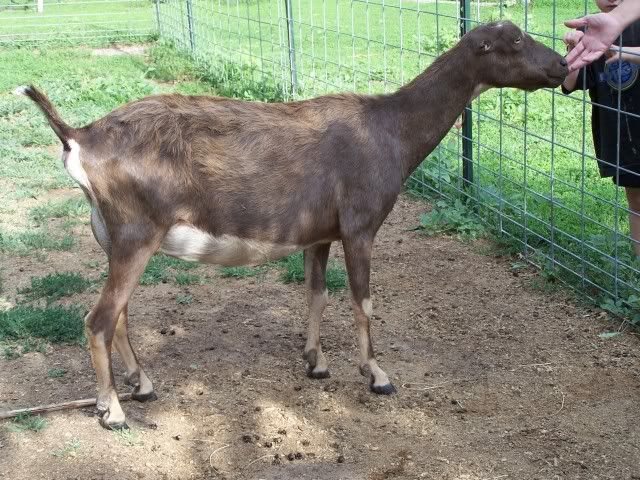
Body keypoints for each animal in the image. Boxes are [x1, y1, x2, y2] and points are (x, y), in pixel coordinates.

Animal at [17, 20, 567, 430]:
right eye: (516, 40)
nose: (562, 65)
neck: (389, 130)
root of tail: (78, 137)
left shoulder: (318, 233)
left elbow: (316, 293)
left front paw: (315, 362)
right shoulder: (360, 226)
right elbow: (362, 301)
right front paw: (377, 375)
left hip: (112, 238)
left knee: (120, 314)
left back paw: (141, 387)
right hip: (135, 234)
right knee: (98, 319)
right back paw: (112, 411)